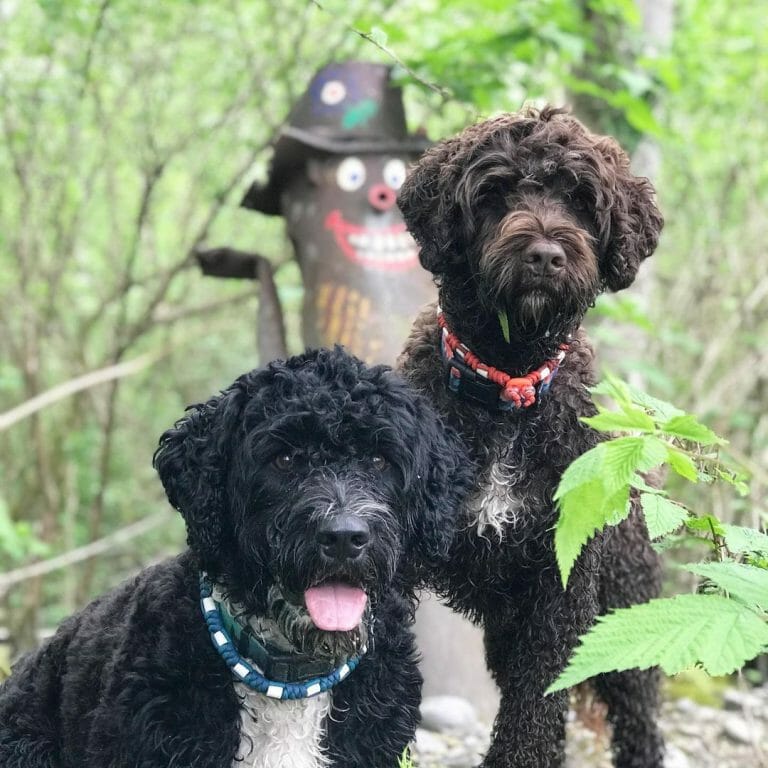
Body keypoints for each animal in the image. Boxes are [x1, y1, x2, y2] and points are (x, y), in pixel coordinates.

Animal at [400, 109, 664, 768]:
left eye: (581, 199)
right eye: (494, 193)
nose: (545, 255)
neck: (508, 387)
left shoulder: (561, 586)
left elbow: (537, 705)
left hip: (626, 616)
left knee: (640, 719)